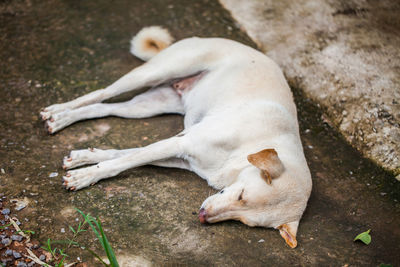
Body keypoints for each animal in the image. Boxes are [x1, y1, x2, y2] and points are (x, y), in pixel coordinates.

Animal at [40, 26, 312, 249]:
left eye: (244, 221)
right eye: (242, 195)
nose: (202, 217)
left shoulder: (180, 155)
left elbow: (124, 155)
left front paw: (83, 159)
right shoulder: (181, 141)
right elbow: (123, 161)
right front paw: (85, 176)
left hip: (148, 106)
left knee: (104, 108)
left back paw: (62, 118)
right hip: (155, 73)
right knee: (100, 93)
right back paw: (57, 111)